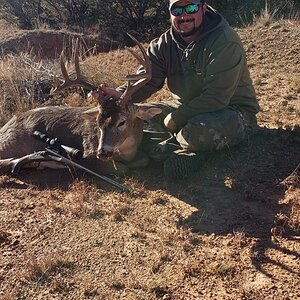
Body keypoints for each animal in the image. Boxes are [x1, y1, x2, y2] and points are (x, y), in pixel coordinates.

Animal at [0, 35, 162, 176]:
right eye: (98, 121)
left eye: (122, 121)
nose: (102, 153)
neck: (126, 152)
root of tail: (6, 126)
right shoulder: (87, 155)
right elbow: (124, 169)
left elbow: (144, 159)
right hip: (12, 142)